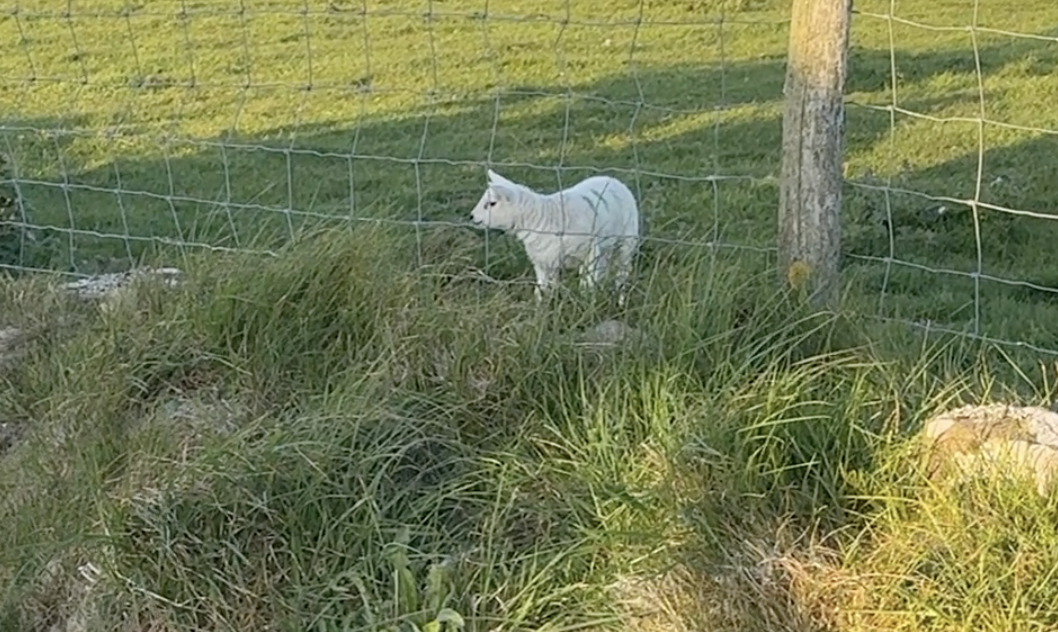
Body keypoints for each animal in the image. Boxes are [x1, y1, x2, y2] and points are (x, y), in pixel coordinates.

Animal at [469, 168, 641, 306]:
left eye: (491, 203)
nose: (471, 216)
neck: (541, 217)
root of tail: (612, 179)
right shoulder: (544, 261)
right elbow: (542, 288)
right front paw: (540, 310)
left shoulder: (590, 251)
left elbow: (588, 283)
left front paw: (586, 305)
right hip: (605, 248)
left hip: (627, 242)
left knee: (622, 273)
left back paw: (620, 301)